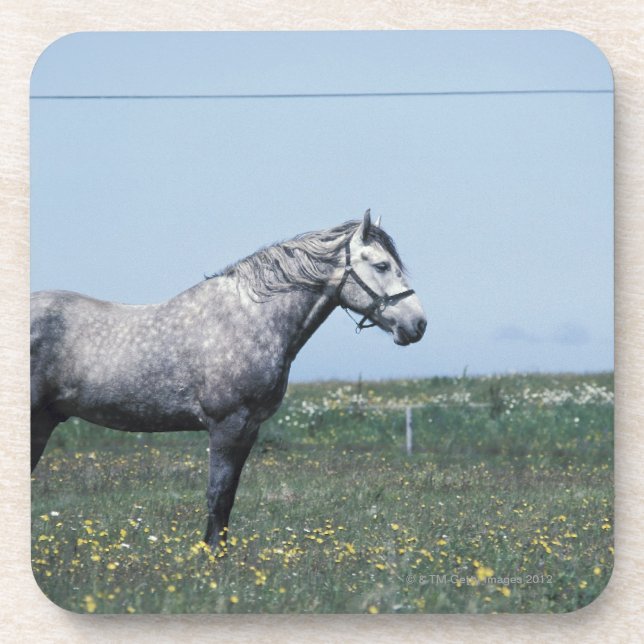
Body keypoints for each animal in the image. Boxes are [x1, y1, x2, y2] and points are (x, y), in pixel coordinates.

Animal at [31, 210, 426, 547]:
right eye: (382, 265)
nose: (418, 324)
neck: (249, 319)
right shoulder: (227, 425)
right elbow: (217, 497)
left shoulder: (248, 429)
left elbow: (229, 497)